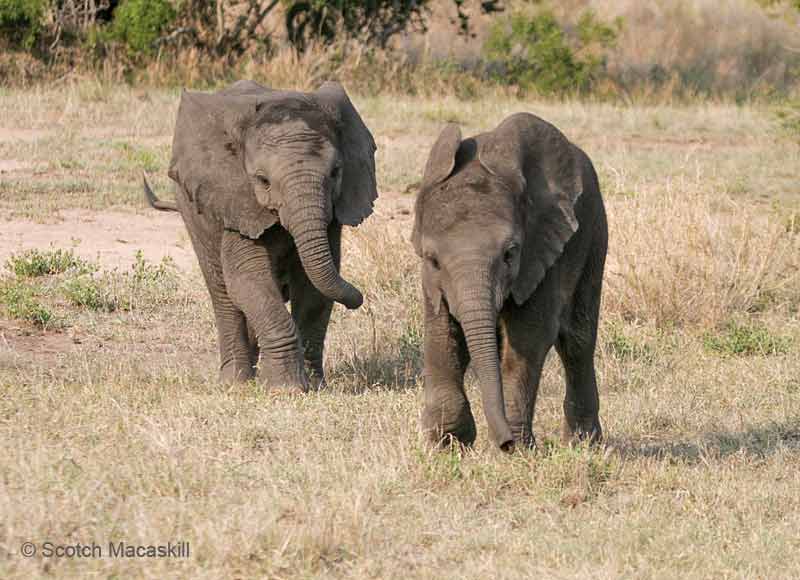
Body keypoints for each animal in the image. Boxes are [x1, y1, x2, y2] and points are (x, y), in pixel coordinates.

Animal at [143, 79, 378, 392]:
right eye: (263, 180)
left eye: (336, 173)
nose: (359, 300)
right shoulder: (236, 198)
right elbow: (248, 278)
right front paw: (286, 389)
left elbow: (314, 289)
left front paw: (314, 386)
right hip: (191, 207)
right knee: (222, 292)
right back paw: (236, 383)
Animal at [412, 111, 608, 450]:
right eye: (433, 260)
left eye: (510, 254)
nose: (505, 442)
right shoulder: (431, 281)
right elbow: (441, 331)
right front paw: (446, 444)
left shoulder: (541, 247)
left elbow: (528, 337)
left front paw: (516, 449)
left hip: (595, 232)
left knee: (576, 341)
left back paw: (583, 444)